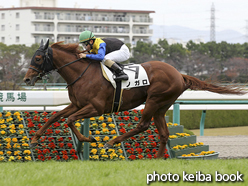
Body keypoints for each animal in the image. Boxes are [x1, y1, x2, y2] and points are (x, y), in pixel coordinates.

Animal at [24, 39, 245, 158]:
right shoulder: (77, 104)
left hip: (154, 100)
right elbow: (55, 117)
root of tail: (179, 75)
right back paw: (156, 159)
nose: (26, 79)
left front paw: (90, 138)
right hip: (161, 106)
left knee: (143, 125)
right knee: (163, 133)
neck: (82, 74)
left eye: (37, 58)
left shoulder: (95, 107)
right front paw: (34, 139)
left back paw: (112, 142)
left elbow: (69, 120)